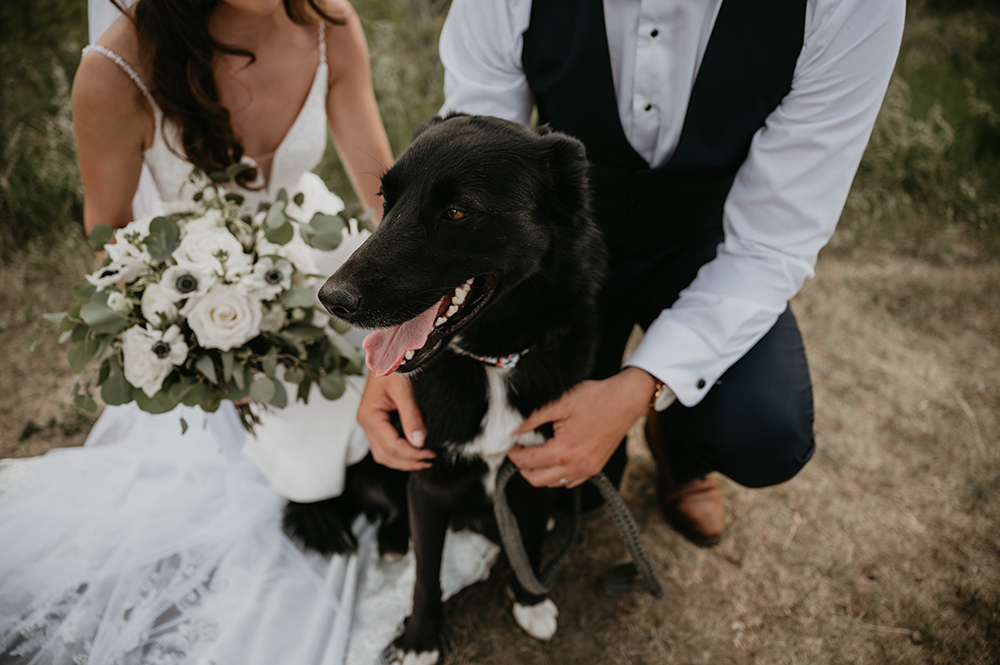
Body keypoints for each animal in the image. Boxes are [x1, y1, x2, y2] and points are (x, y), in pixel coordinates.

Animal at [315, 113, 606, 664]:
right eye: (387, 200)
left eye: (455, 212)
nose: (331, 299)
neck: (492, 360)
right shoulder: (428, 480)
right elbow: (426, 572)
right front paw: (419, 639)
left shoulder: (538, 462)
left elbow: (528, 540)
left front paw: (531, 597)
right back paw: (393, 539)